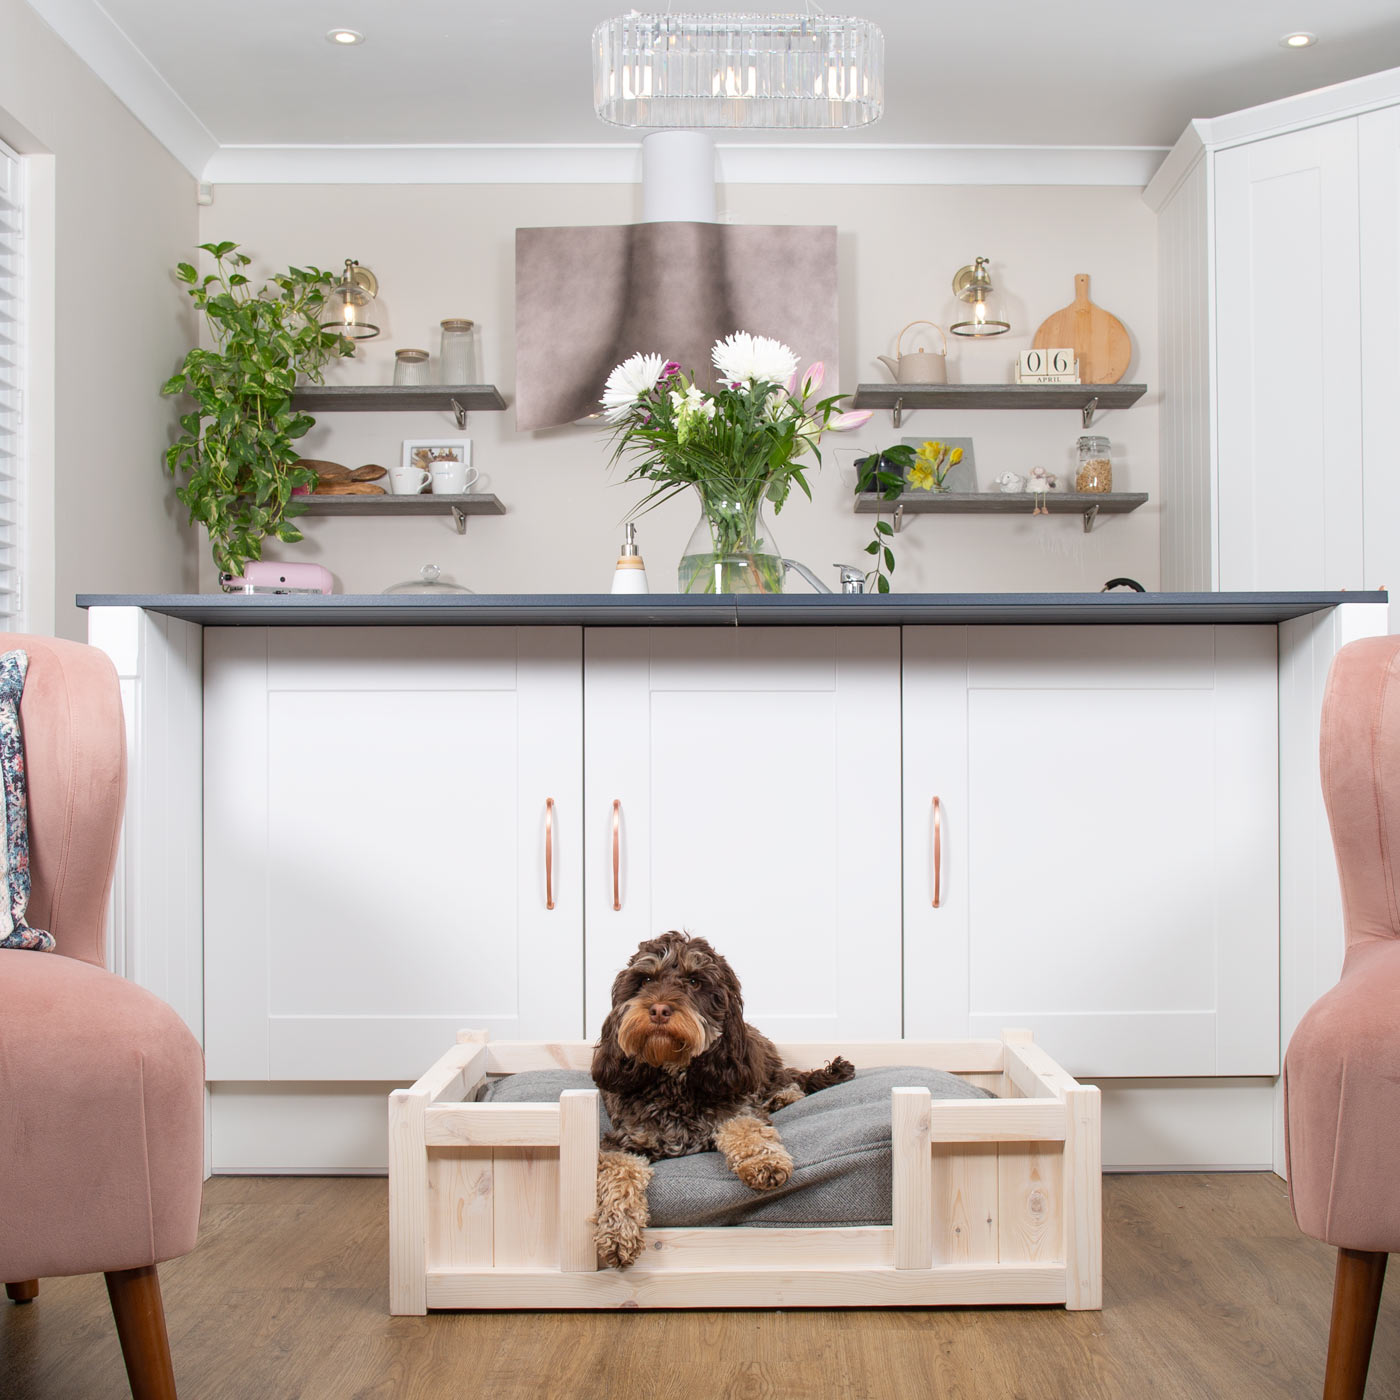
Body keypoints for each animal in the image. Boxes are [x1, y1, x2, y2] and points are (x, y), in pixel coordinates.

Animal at [590, 929, 851, 1271]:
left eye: (694, 981)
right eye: (645, 979)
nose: (658, 1010)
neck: (674, 1081)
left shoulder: (736, 1104)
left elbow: (746, 1126)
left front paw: (763, 1160)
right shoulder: (621, 1142)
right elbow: (618, 1172)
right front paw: (617, 1232)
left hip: (761, 1068)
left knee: (789, 1079)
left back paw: (782, 1098)